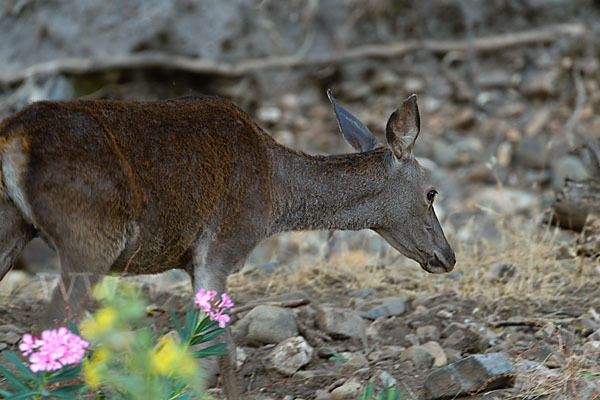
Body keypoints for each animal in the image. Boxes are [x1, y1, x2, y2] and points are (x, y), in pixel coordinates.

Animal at [0, 90, 454, 394]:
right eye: (432, 192)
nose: (448, 257)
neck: (276, 197)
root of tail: (12, 137)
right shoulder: (222, 249)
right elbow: (221, 350)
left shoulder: (194, 261)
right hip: (89, 238)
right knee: (49, 332)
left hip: (13, 227)